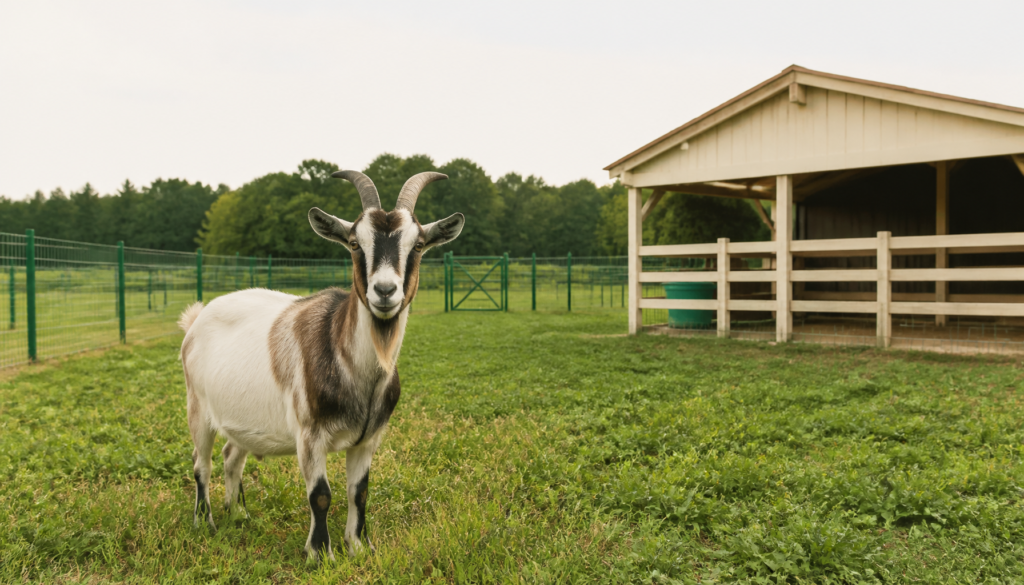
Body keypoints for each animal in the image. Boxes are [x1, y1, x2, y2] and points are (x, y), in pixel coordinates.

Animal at [178, 170, 464, 561]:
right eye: (355, 243)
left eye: (418, 245)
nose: (384, 291)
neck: (358, 376)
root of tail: (196, 320)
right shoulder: (309, 435)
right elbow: (321, 495)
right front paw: (320, 554)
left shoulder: (368, 439)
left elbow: (359, 491)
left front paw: (358, 546)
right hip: (197, 408)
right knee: (200, 464)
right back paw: (203, 523)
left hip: (243, 420)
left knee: (231, 456)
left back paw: (238, 514)